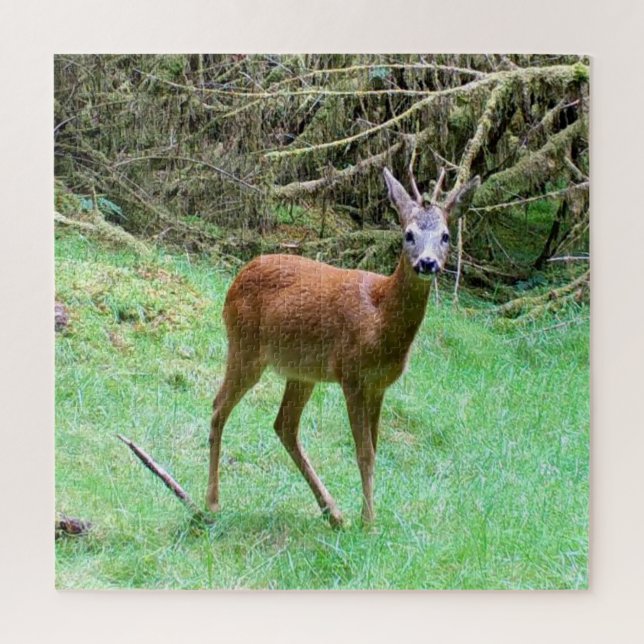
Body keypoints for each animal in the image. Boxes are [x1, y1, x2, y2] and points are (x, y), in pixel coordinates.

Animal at [206, 166, 479, 527]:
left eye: (446, 236)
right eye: (408, 234)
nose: (427, 263)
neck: (381, 321)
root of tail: (237, 277)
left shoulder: (379, 386)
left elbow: (374, 449)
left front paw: (365, 517)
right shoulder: (352, 376)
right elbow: (364, 453)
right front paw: (370, 522)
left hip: (301, 372)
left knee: (284, 425)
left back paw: (333, 513)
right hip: (245, 346)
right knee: (219, 406)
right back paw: (212, 503)